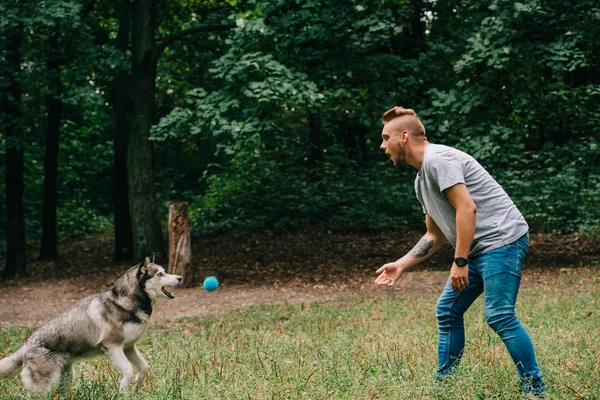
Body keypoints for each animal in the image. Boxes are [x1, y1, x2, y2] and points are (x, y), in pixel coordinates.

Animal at [0, 258, 180, 396]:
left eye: (165, 271)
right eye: (160, 274)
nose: (180, 277)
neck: (125, 303)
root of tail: (26, 344)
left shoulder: (129, 347)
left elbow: (144, 368)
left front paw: (135, 388)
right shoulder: (113, 347)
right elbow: (128, 371)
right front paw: (124, 393)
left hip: (65, 380)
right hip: (46, 386)